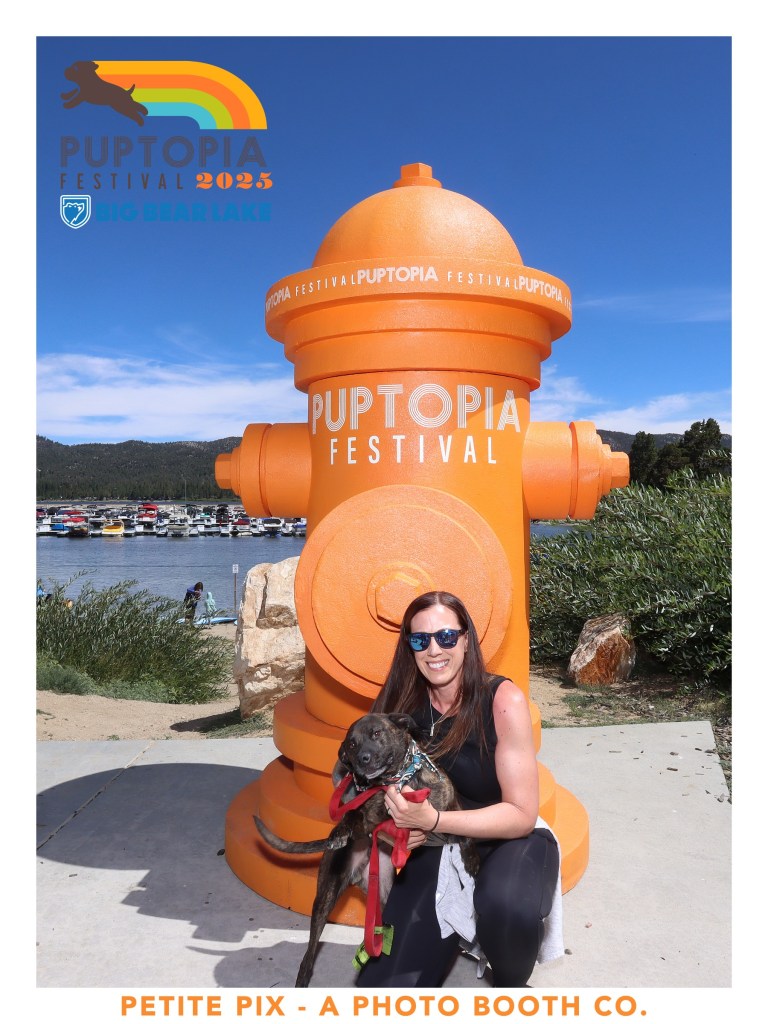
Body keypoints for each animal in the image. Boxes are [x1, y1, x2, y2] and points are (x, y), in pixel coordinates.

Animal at [254, 712, 479, 987]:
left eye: (376, 733)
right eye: (352, 744)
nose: (363, 759)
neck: (401, 780)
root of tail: (360, 870)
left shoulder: (449, 810)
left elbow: (467, 832)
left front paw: (472, 860)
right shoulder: (369, 817)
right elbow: (352, 812)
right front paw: (339, 831)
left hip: (383, 893)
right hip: (325, 898)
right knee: (309, 953)